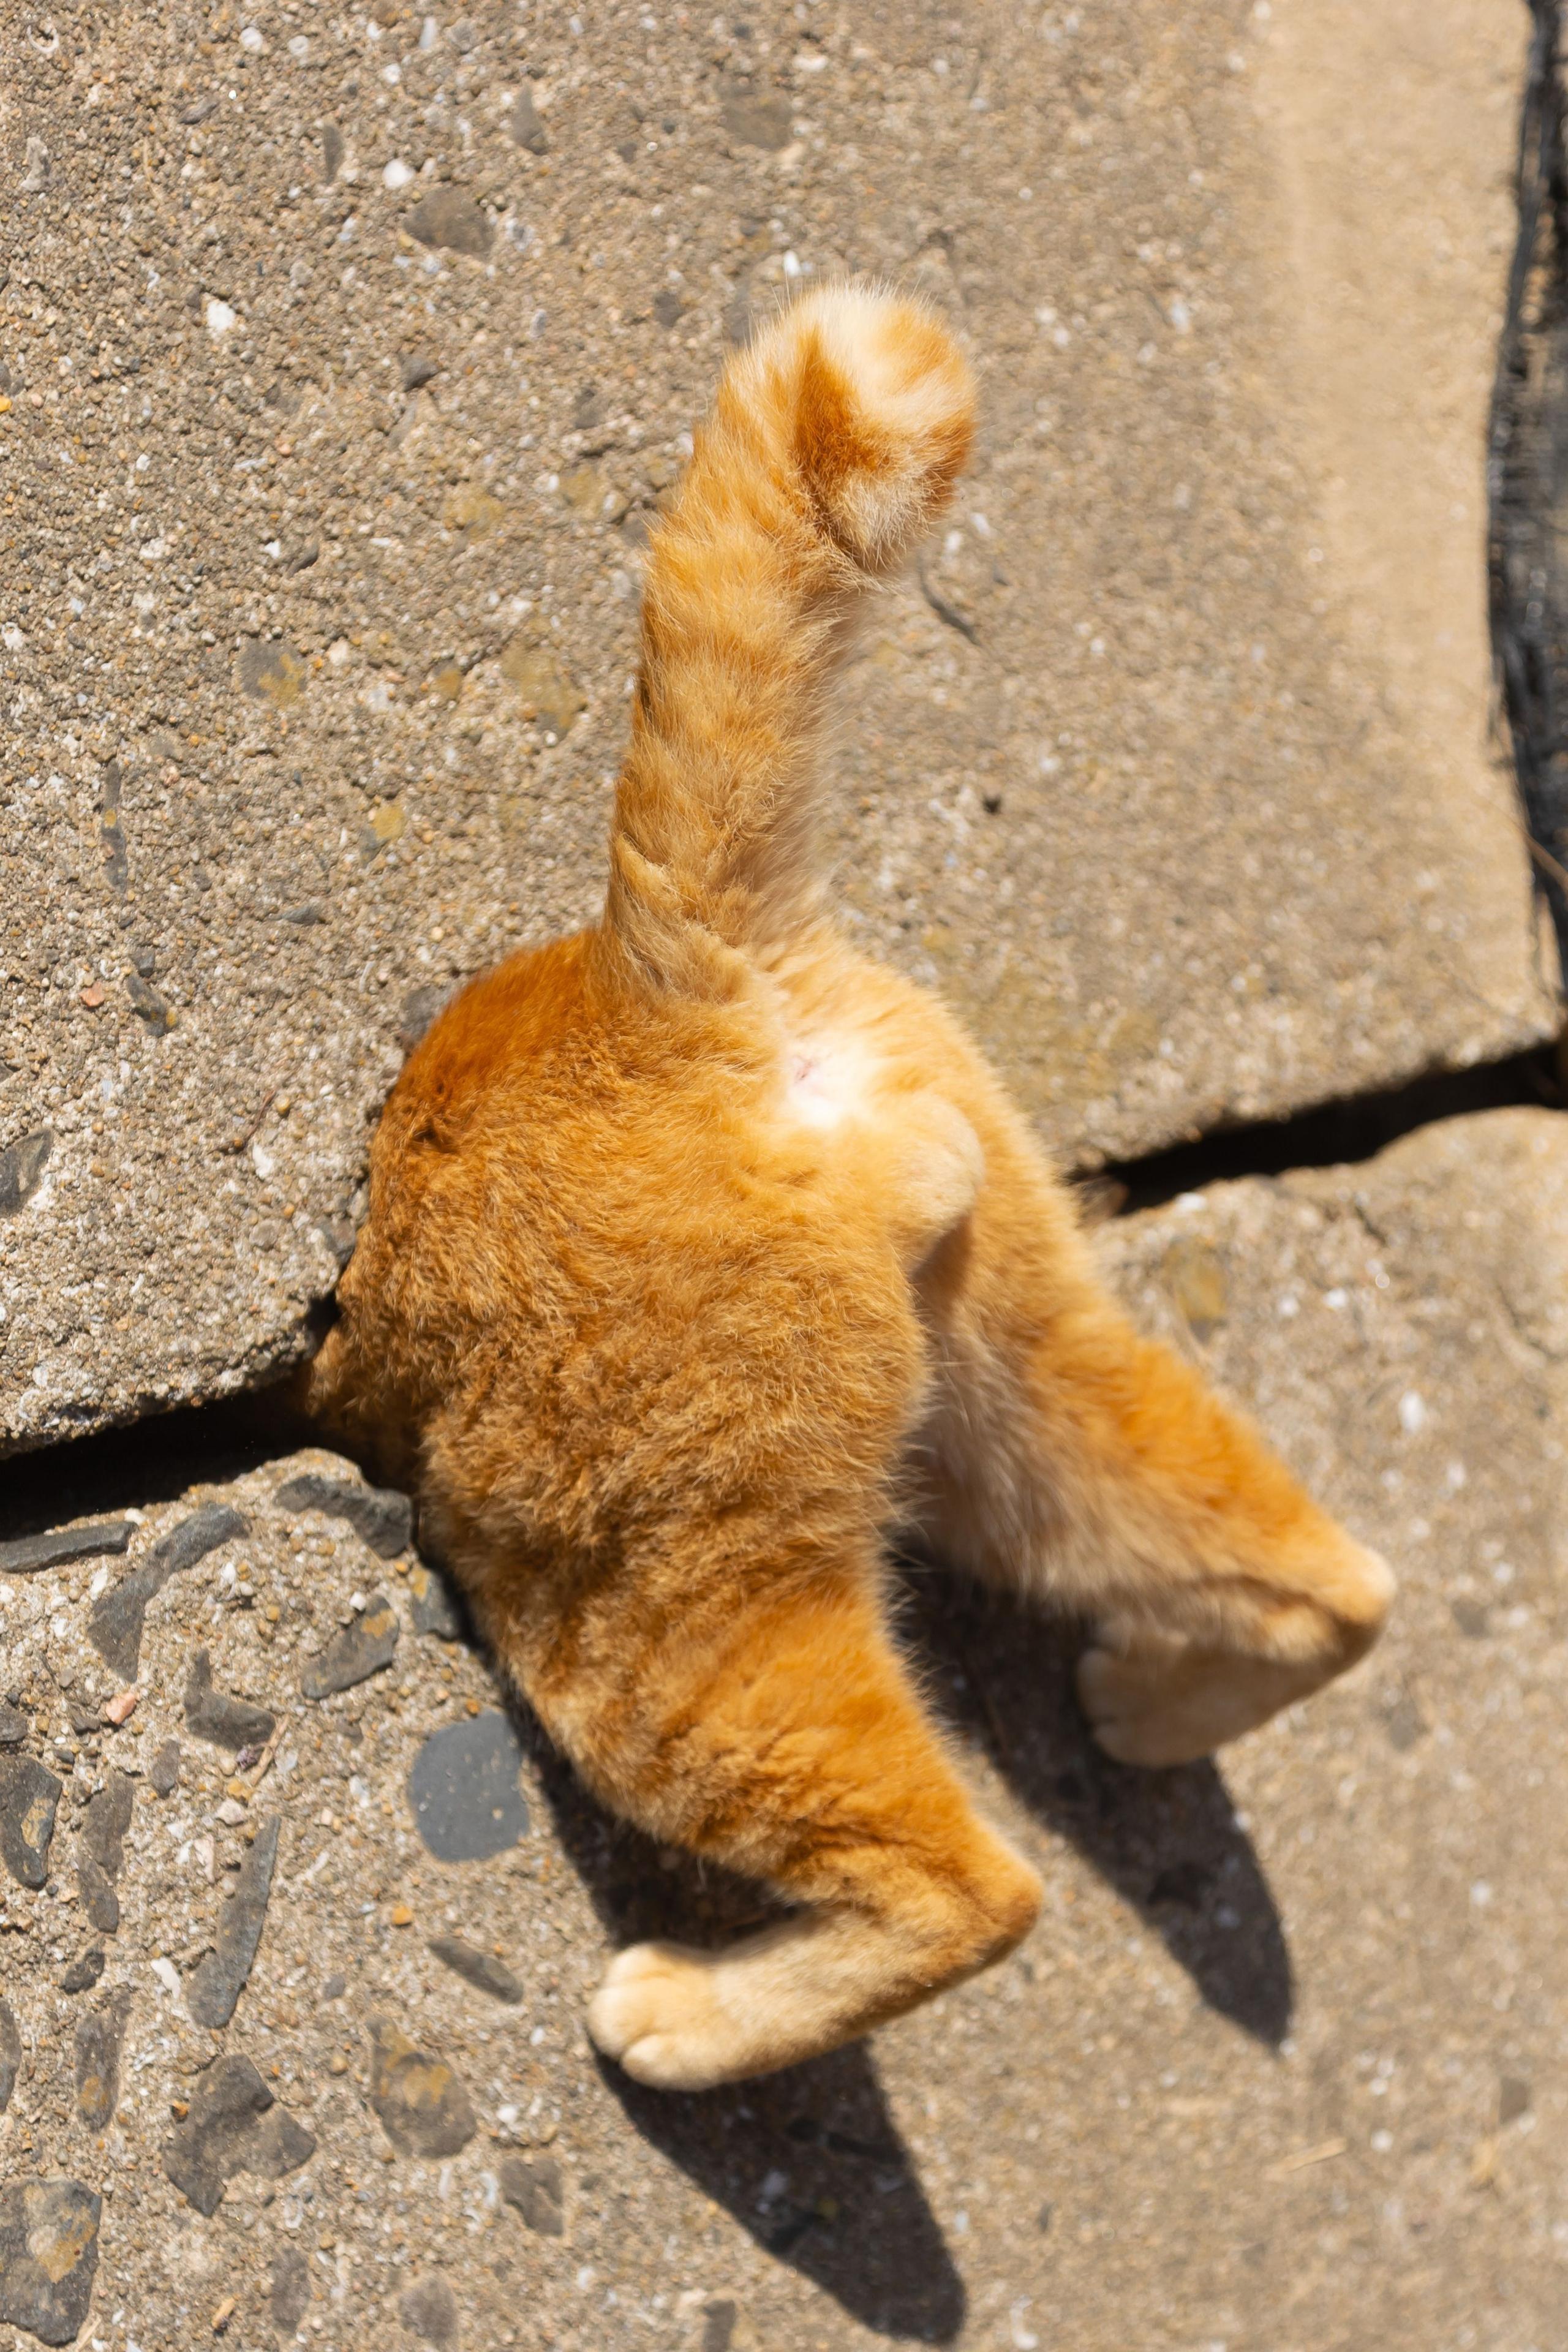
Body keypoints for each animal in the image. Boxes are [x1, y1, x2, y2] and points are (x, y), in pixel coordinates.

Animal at [303, 284, 1382, 2088]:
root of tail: (672, 990)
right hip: (1029, 1397)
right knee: (1339, 1576)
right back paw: (1152, 1707)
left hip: (644, 1618)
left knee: (976, 1886)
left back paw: (688, 2020)